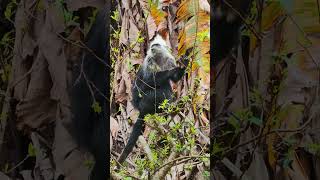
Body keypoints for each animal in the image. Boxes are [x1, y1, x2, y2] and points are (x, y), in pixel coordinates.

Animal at [117, 34, 189, 164]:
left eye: (156, 45)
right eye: (153, 45)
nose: (152, 48)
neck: (159, 59)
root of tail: (141, 108)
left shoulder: (169, 60)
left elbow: (175, 79)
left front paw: (184, 63)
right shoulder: (149, 62)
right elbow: (148, 81)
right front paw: (171, 71)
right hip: (146, 100)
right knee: (161, 88)